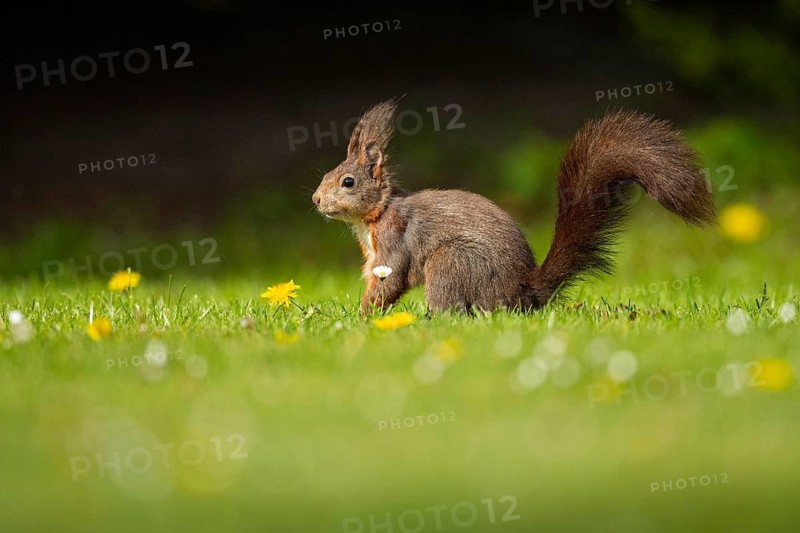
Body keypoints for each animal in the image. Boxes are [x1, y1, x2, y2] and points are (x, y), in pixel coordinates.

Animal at [312, 100, 716, 315]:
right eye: (328, 174)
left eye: (348, 182)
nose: (315, 200)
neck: (375, 215)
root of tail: (522, 293)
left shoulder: (394, 243)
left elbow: (391, 280)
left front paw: (364, 317)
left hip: (450, 262)